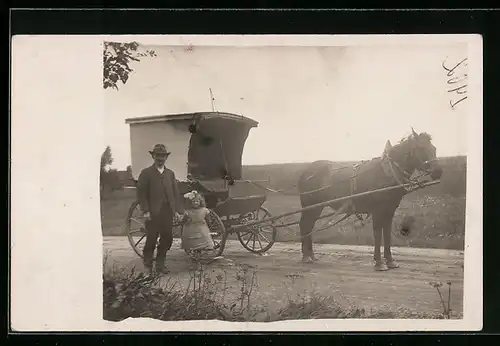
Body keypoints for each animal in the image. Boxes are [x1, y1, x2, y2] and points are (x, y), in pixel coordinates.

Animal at [296, 127, 442, 270]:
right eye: (421, 148)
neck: (387, 172)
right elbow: (377, 233)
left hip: (317, 206)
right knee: (305, 225)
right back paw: (306, 257)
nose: (438, 172)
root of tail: (306, 171)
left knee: (308, 226)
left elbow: (387, 233)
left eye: (434, 148)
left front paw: (390, 261)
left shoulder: (389, 210)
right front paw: (379, 263)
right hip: (311, 205)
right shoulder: (377, 211)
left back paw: (311, 255)